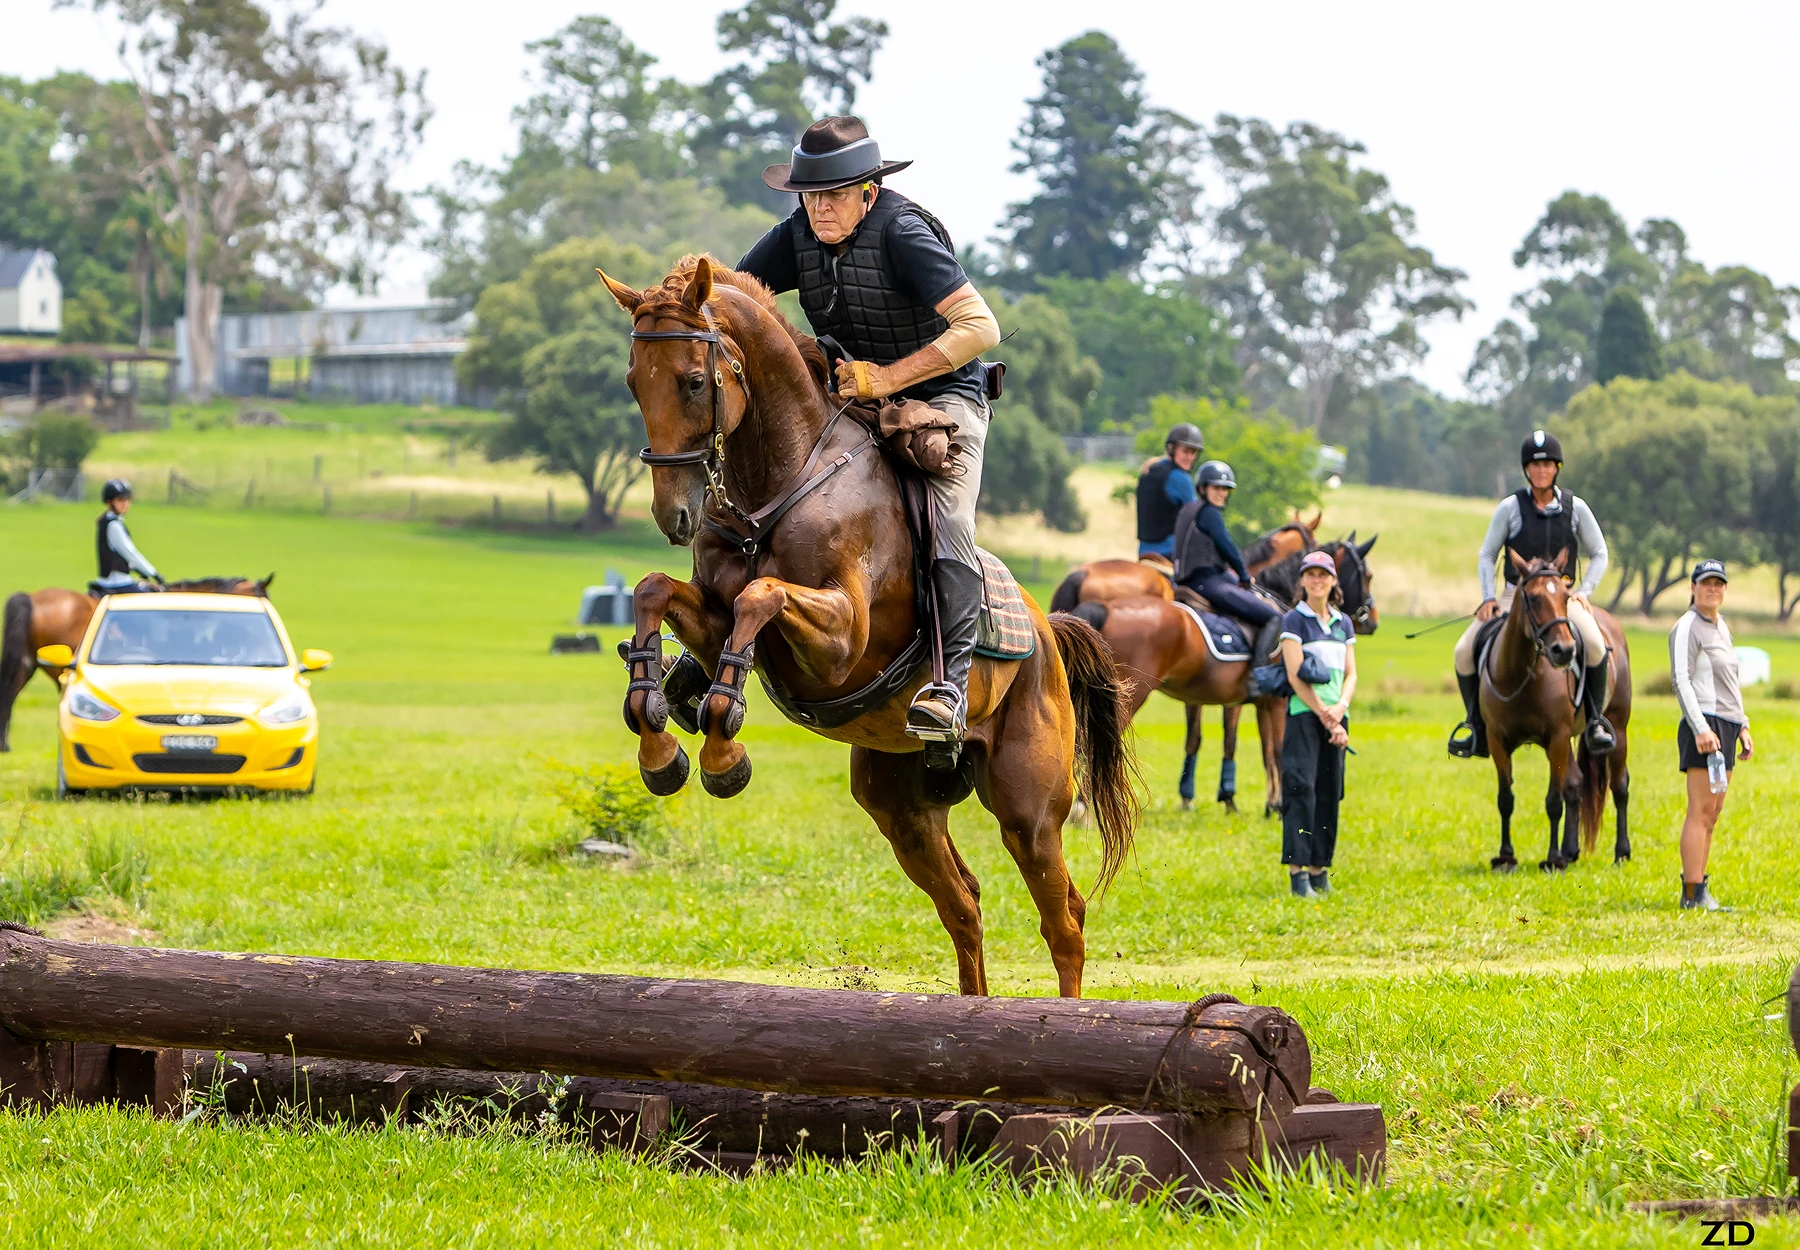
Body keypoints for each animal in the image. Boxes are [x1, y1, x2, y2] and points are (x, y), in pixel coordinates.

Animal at [597, 255, 1139, 999]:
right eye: (632, 382)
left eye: (694, 381)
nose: (675, 516)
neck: (779, 480)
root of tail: (1048, 635)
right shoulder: (713, 618)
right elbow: (658, 593)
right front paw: (659, 736)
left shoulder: (839, 640)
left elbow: (761, 596)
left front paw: (722, 751)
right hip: (900, 806)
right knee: (964, 905)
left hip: (1028, 808)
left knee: (1065, 920)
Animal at [1478, 553, 1632, 872]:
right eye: (1534, 598)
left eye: (1565, 597)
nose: (1565, 650)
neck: (1521, 674)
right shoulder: (1498, 740)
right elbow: (1505, 799)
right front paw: (1506, 857)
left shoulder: (1557, 737)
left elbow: (1552, 801)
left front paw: (1551, 859)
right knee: (1575, 784)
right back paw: (1570, 851)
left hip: (1617, 728)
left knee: (1619, 785)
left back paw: (1621, 853)